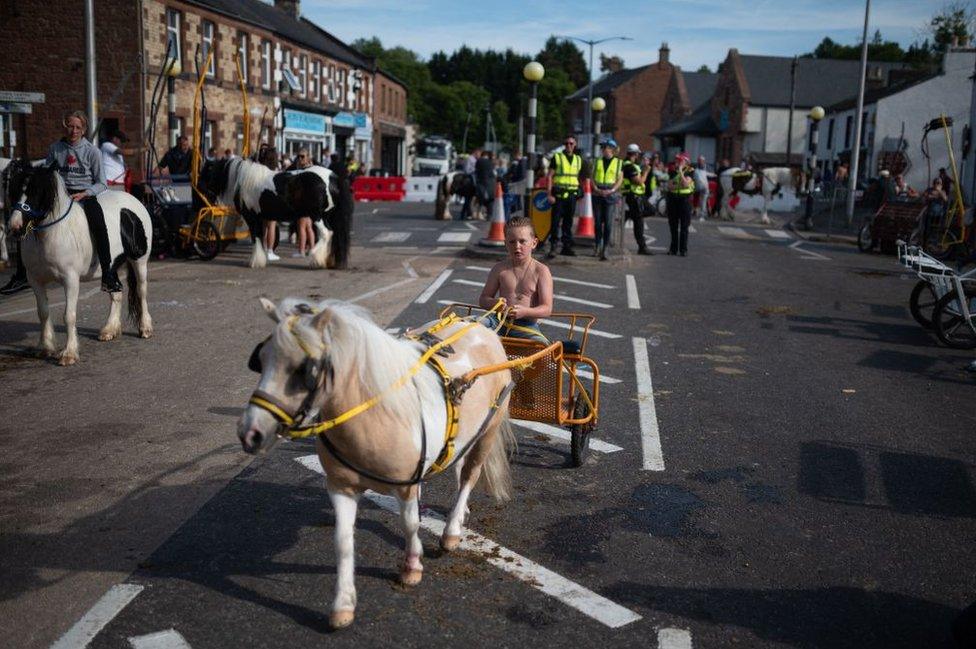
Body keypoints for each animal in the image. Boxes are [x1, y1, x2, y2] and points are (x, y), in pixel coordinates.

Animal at [8, 162, 152, 364]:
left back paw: (145, 328)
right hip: (111, 267)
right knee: (116, 293)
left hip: (140, 261)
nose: (15, 227)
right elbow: (43, 312)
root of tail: (134, 202)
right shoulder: (35, 280)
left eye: (36, 192)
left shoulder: (70, 280)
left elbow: (68, 315)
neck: (55, 232)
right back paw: (109, 330)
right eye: (15, 191)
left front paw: (68, 354)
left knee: (141, 291)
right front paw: (45, 348)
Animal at [196, 158, 352, 270]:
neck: (244, 181)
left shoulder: (252, 218)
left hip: (317, 216)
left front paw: (255, 262)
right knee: (332, 235)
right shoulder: (262, 219)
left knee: (326, 234)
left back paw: (315, 259)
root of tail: (333, 177)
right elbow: (263, 238)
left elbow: (256, 238)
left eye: (207, 171)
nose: (198, 188)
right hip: (328, 216)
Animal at [237, 298, 520, 628]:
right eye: (260, 359)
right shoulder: (341, 488)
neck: (374, 414)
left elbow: (410, 524)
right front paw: (343, 602)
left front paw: (412, 567)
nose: (250, 433)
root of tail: (480, 327)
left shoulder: (405, 487)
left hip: (489, 430)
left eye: (303, 369)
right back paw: (459, 514)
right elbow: (343, 541)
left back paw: (451, 529)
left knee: (469, 476)